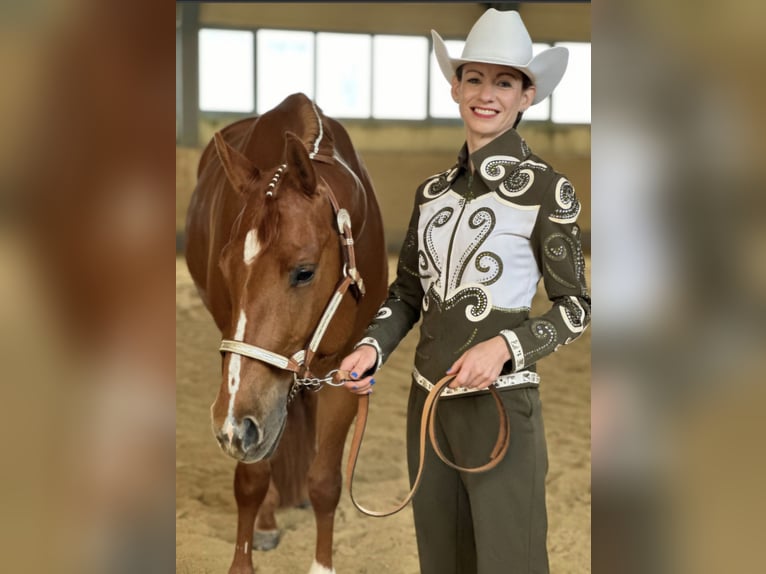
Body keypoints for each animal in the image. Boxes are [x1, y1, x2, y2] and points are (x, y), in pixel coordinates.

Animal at [184, 93, 388, 574]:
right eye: (226, 268)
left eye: (304, 271)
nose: (233, 426)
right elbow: (252, 475)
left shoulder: (346, 370)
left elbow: (325, 481)